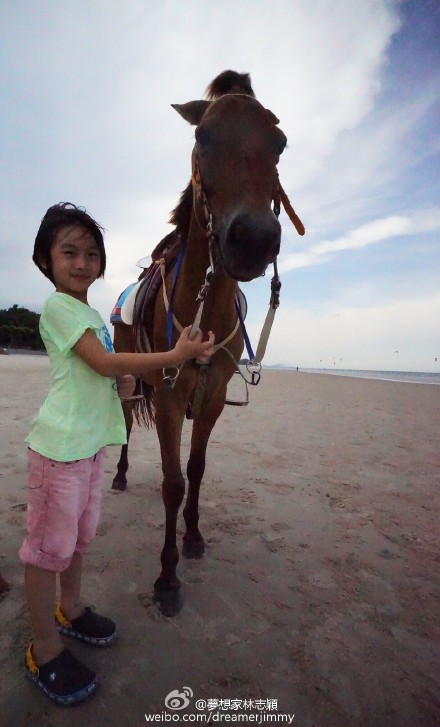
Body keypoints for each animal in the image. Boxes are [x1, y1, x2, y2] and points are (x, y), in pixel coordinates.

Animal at [112, 70, 304, 616]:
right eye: (202, 135)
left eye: (280, 143)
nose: (254, 239)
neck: (207, 308)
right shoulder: (170, 395)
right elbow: (173, 483)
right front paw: (167, 576)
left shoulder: (212, 395)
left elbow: (194, 471)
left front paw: (194, 538)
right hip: (127, 377)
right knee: (125, 425)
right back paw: (119, 475)